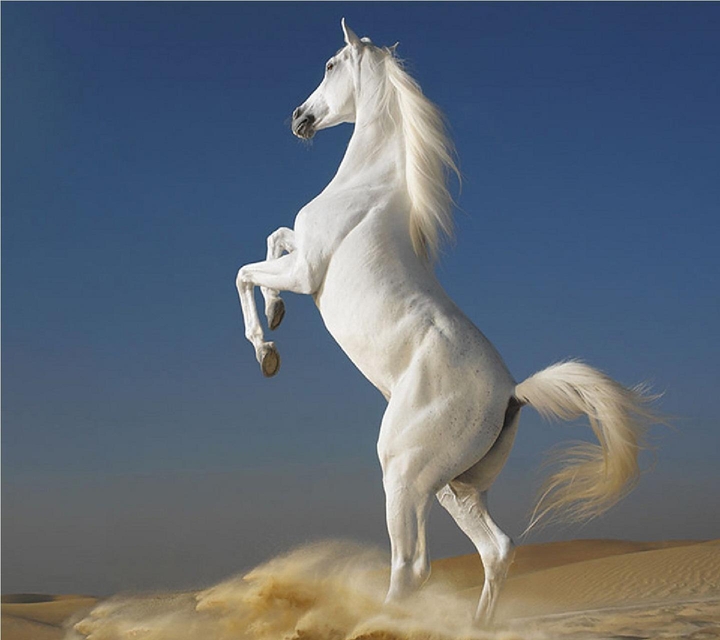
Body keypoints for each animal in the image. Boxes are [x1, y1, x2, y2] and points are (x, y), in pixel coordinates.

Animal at [235, 19, 659, 623]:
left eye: (331, 65)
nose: (298, 118)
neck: (367, 188)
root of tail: (512, 393)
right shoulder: (299, 258)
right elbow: (272, 239)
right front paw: (275, 315)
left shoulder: (307, 270)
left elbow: (246, 270)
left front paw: (265, 349)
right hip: (452, 486)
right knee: (496, 550)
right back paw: (476, 625)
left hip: (403, 474)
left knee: (413, 567)